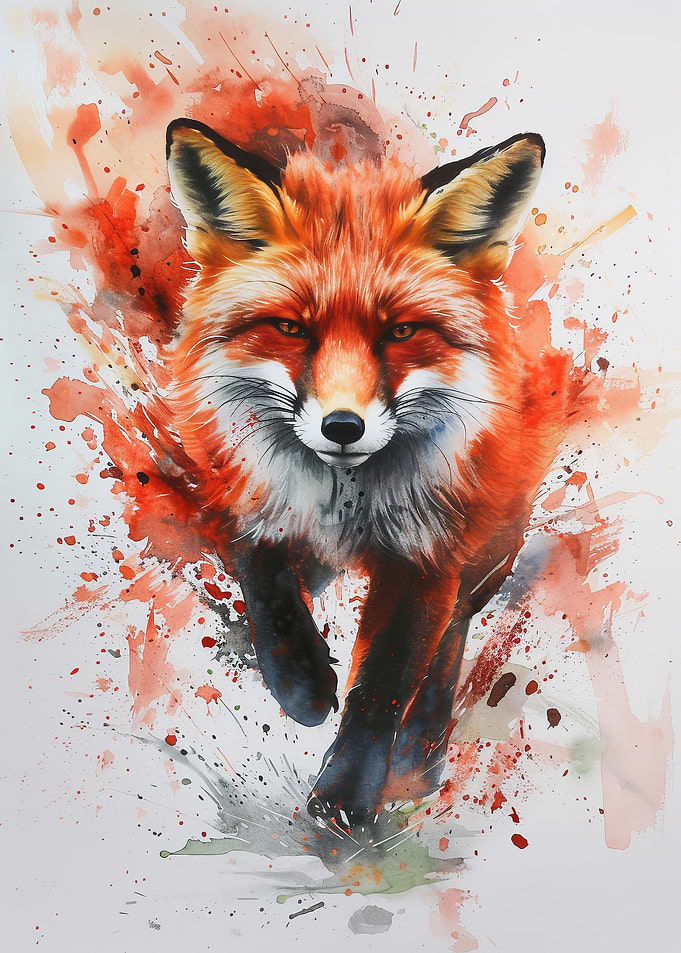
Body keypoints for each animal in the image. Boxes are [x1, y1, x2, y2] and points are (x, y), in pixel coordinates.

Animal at [164, 118, 570, 829]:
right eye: (291, 328)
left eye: (401, 332)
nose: (342, 428)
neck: (342, 503)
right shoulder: (238, 494)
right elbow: (263, 577)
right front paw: (300, 683)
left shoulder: (427, 557)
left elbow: (383, 684)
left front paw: (346, 797)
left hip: (487, 548)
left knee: (450, 639)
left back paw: (419, 752)